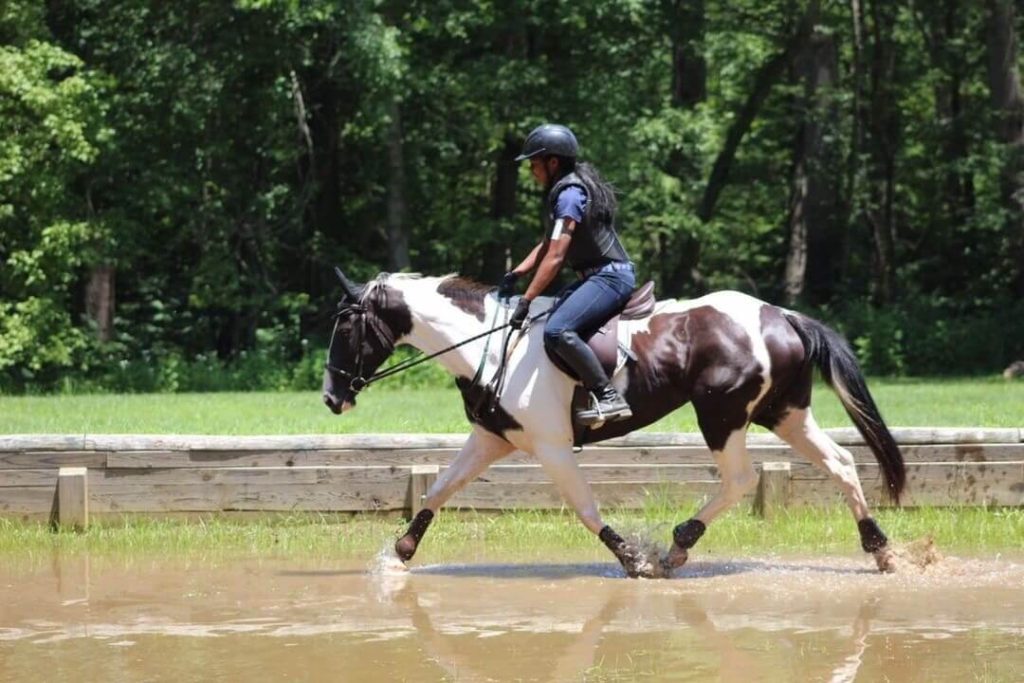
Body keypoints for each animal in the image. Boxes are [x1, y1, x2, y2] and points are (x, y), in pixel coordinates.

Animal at [322, 269, 905, 577]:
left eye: (346, 327)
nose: (331, 398)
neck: (488, 342)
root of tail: (781, 314)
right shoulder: (492, 438)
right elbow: (441, 487)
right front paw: (401, 551)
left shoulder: (552, 446)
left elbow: (584, 508)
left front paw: (631, 558)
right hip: (782, 412)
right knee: (842, 462)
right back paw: (879, 549)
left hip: (722, 414)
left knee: (741, 478)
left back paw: (677, 544)